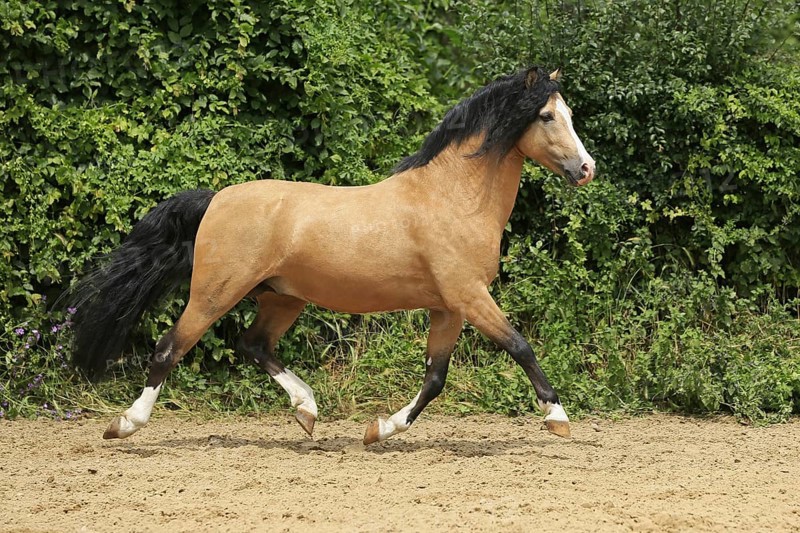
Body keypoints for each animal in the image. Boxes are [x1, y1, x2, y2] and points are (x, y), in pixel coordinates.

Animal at [70, 66, 595, 444]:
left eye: (569, 113)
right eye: (547, 116)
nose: (586, 169)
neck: (450, 198)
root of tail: (216, 199)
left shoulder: (448, 306)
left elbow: (435, 377)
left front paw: (379, 430)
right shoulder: (469, 295)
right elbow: (519, 346)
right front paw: (557, 417)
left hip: (282, 298)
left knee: (253, 344)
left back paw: (307, 410)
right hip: (214, 294)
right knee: (169, 348)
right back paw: (124, 424)